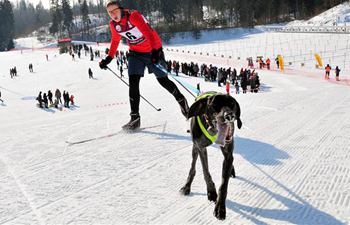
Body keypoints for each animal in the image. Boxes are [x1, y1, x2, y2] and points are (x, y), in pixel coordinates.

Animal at [179, 91, 242, 220]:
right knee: (193, 167)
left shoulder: (228, 153)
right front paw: (211, 191)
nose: (229, 116)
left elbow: (224, 185)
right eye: (214, 104)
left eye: (232, 103)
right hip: (195, 147)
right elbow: (205, 171)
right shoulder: (201, 148)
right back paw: (187, 186)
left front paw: (220, 207)